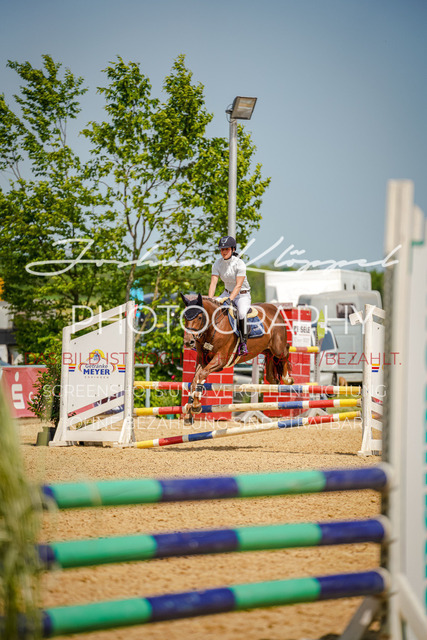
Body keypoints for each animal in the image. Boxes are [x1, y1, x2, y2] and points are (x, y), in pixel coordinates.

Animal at [180, 293, 293, 424]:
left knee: (285, 351)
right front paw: (190, 412)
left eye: (199, 317)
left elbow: (201, 375)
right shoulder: (202, 361)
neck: (213, 326)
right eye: (185, 317)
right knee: (271, 362)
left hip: (277, 348)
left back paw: (287, 379)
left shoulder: (220, 360)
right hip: (266, 349)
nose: (188, 342)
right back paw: (274, 381)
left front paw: (196, 406)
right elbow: (195, 380)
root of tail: (274, 309)